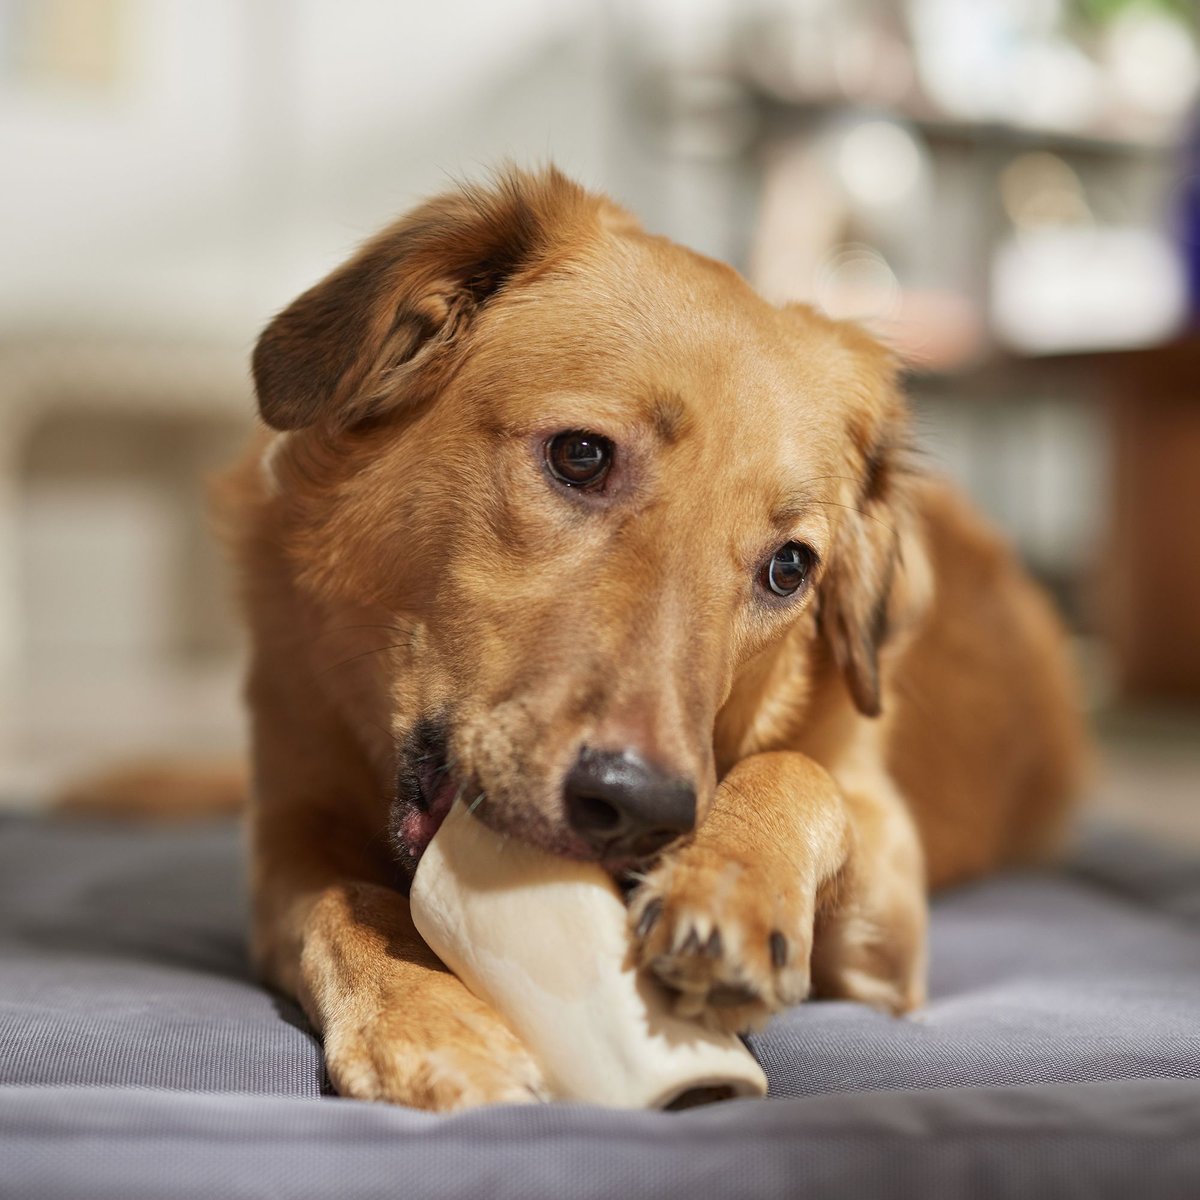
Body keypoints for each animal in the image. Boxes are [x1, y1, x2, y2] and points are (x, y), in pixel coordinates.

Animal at [216, 164, 1089, 1108]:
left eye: (790, 568)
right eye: (581, 456)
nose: (639, 809)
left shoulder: (887, 899)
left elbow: (799, 771)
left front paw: (731, 883)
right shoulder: (287, 827)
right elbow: (344, 900)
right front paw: (425, 1017)